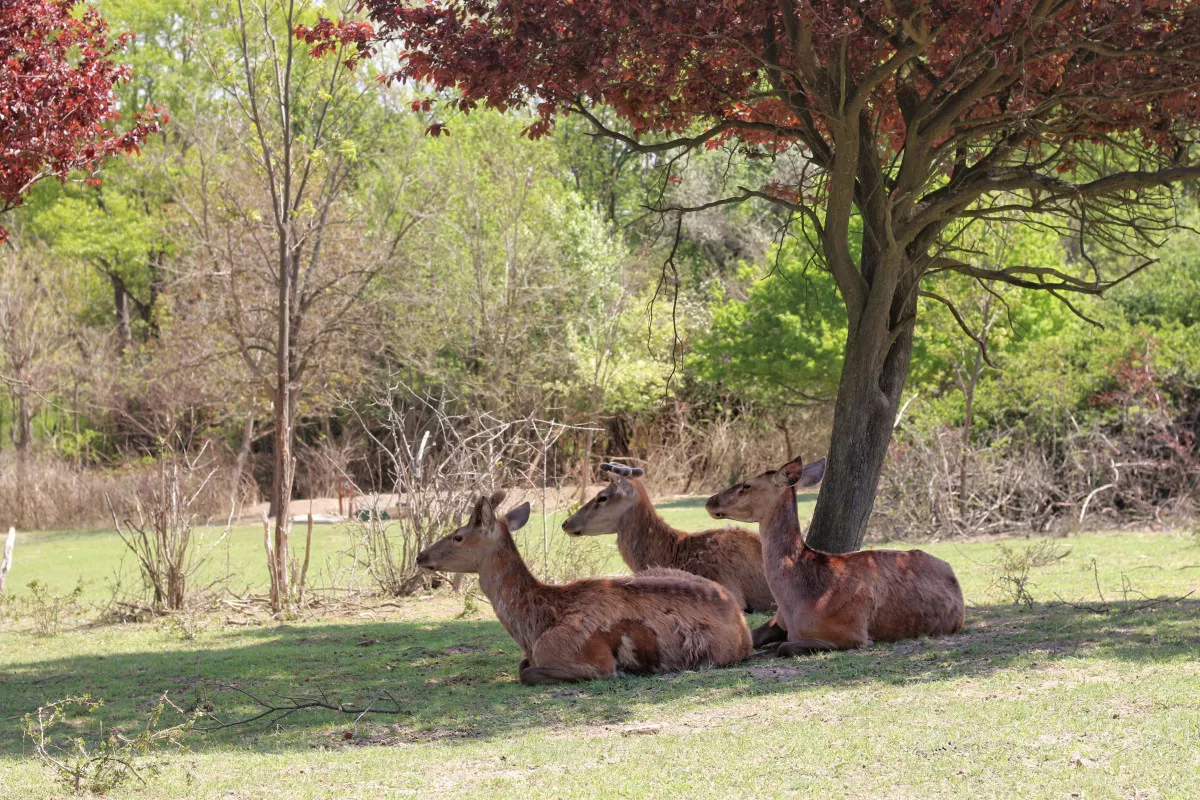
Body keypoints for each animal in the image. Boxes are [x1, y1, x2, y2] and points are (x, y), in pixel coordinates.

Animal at [415, 491, 748, 686]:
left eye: (458, 536)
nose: (421, 556)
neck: (535, 628)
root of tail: (743, 626)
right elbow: (522, 665)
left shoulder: (589, 659)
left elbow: (526, 672)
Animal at [700, 455, 964, 657]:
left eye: (747, 484)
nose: (710, 500)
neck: (796, 601)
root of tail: (952, 572)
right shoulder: (778, 619)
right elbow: (752, 636)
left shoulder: (850, 633)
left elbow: (784, 646)